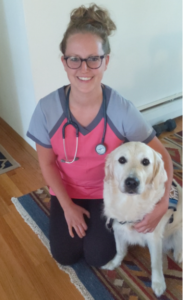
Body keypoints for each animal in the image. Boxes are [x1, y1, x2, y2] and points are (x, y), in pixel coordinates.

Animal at [102, 142, 182, 296]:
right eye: (122, 160)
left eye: (145, 162)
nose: (132, 182)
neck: (131, 203)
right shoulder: (118, 229)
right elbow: (120, 250)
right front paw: (115, 263)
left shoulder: (153, 237)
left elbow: (156, 263)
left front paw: (158, 283)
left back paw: (179, 255)